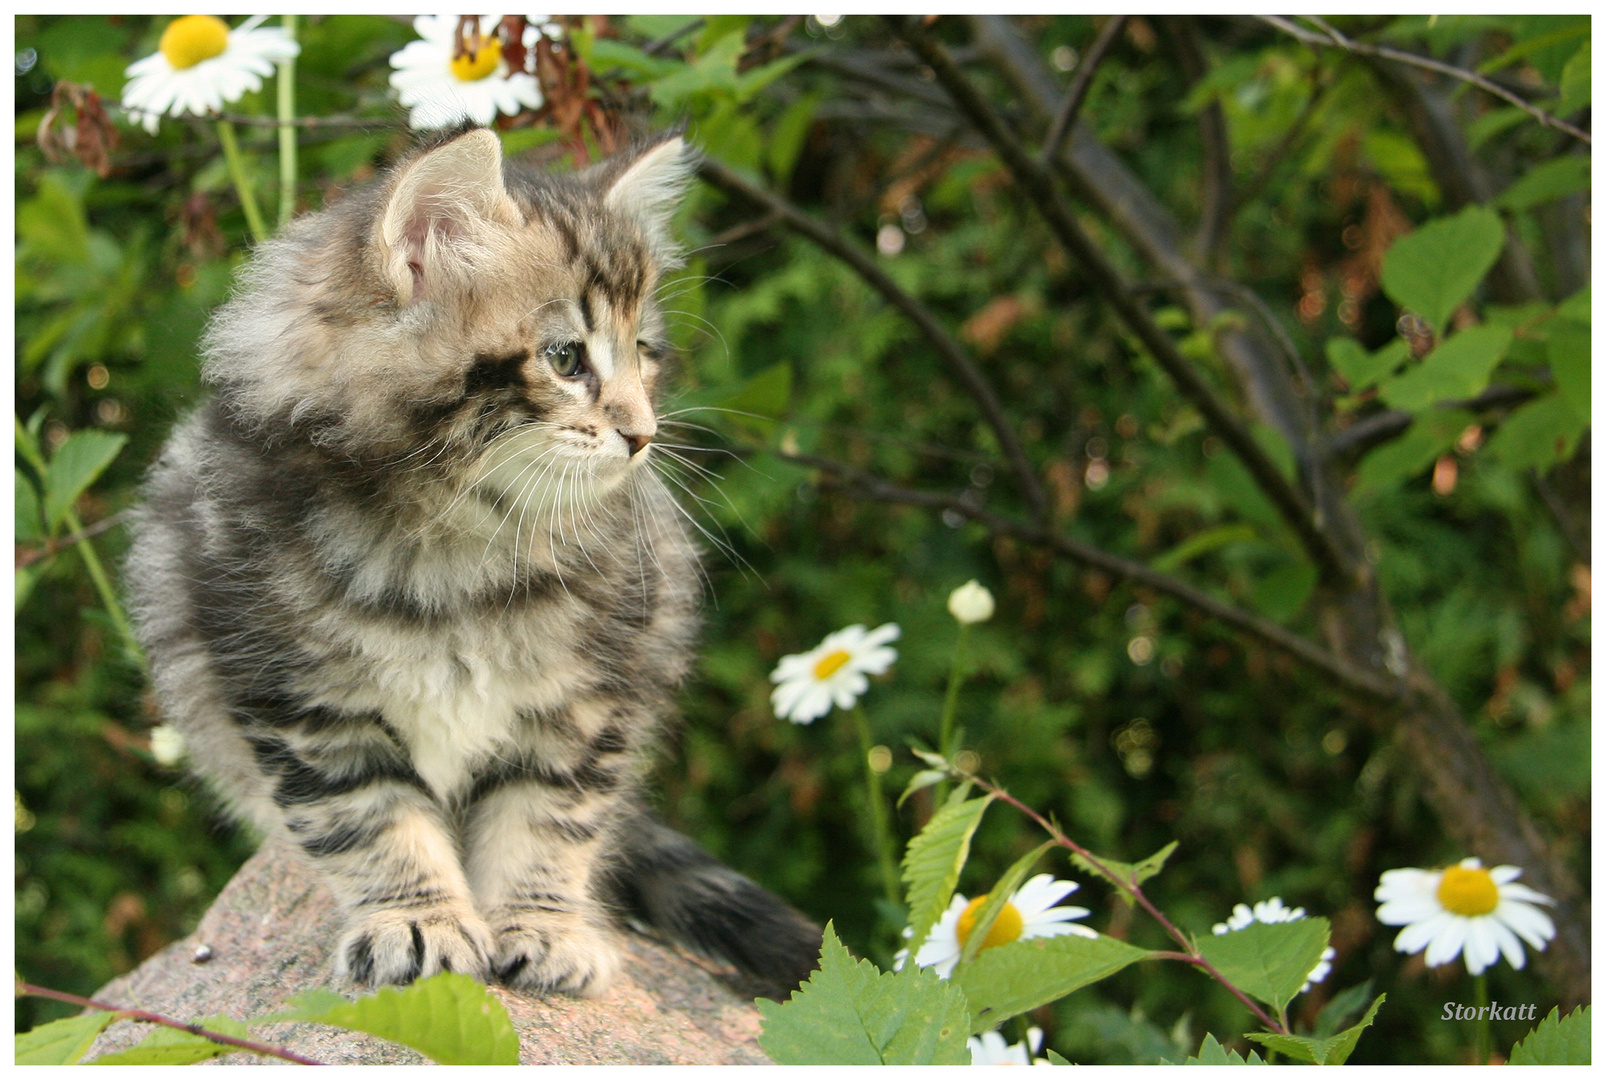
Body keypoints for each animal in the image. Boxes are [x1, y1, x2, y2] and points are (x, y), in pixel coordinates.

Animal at [128, 130, 815, 1002]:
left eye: (645, 353)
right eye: (566, 357)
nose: (644, 434)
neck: (453, 545)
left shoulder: (584, 701)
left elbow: (548, 822)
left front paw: (544, 928)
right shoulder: (300, 700)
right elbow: (372, 820)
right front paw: (415, 920)